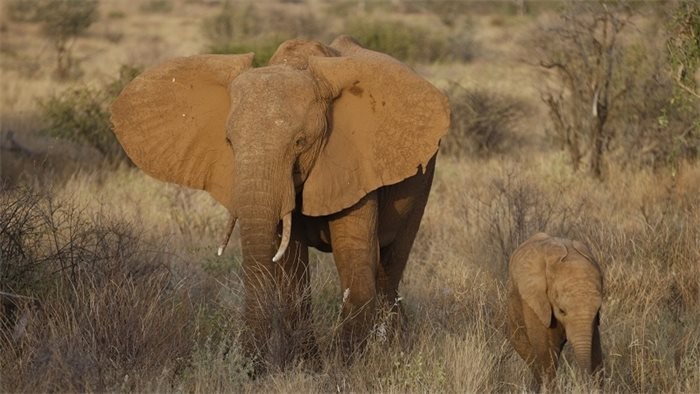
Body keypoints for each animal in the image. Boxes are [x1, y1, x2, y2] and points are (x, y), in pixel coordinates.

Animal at [110, 35, 448, 368]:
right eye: (229, 142)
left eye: (300, 142)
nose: (248, 368)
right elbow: (291, 270)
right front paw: (308, 366)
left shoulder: (355, 163)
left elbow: (354, 262)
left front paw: (347, 368)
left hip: (423, 179)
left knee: (389, 267)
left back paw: (395, 348)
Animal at [508, 232, 600, 386]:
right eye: (561, 311)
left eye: (598, 311)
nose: (584, 380)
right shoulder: (535, 303)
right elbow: (547, 354)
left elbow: (596, 350)